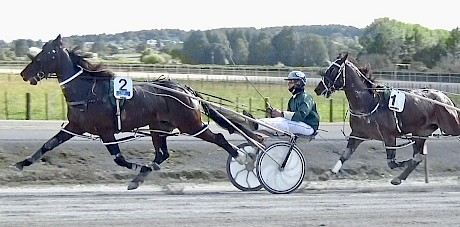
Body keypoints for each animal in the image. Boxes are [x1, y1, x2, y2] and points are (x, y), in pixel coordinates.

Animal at [13, 34, 258, 190]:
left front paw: (139, 166)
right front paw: (21, 164)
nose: (24, 74)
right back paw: (140, 177)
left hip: (191, 125)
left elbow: (119, 159)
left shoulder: (106, 131)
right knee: (162, 154)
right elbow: (48, 145)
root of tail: (185, 89)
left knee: (219, 138)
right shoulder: (75, 127)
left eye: (45, 55)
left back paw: (243, 157)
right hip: (159, 128)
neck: (88, 90)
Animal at [314, 54, 460, 185]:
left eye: (333, 70)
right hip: (420, 132)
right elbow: (345, 155)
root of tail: (445, 97)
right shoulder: (357, 134)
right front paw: (328, 174)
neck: (369, 102)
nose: (317, 89)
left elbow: (393, 162)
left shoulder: (389, 137)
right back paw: (399, 178)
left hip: (450, 126)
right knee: (417, 152)